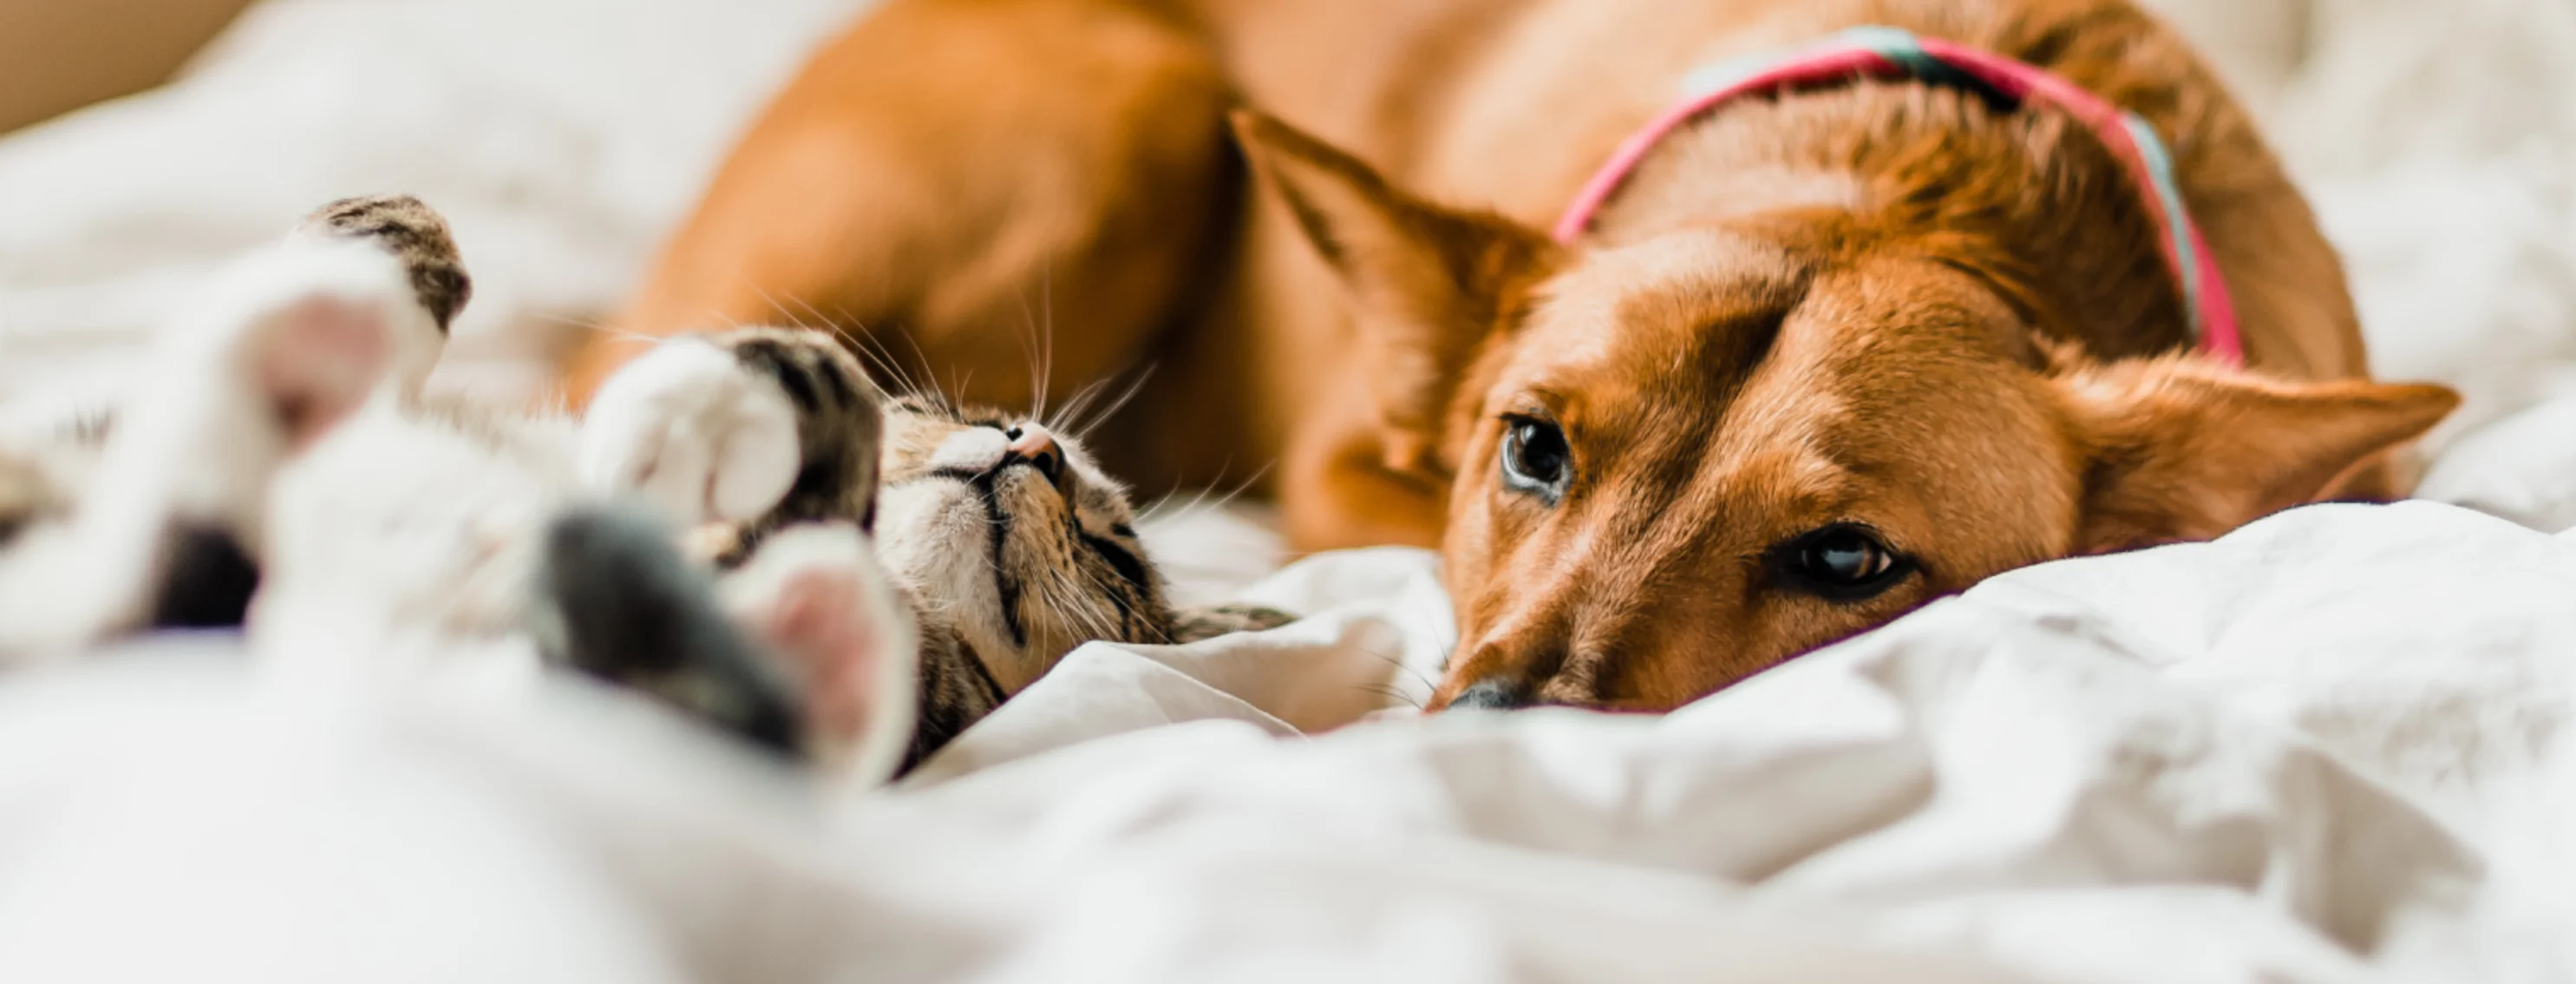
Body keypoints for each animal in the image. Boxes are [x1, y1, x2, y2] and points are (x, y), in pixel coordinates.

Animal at [564, 0, 2452, 711]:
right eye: (1532, 448)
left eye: (1850, 560)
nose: (1486, 725)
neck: (1914, 174)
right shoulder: (1352, 465)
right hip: (1123, 108)